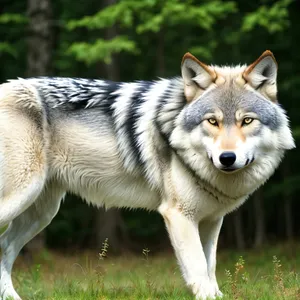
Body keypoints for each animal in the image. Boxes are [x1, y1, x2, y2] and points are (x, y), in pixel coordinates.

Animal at [0, 50, 296, 298]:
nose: (227, 158)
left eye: (247, 121)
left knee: (4, 248)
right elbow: (199, 269)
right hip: (21, 199)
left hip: (42, 213)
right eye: (212, 121)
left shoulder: (211, 220)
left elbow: (210, 266)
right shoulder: (179, 215)